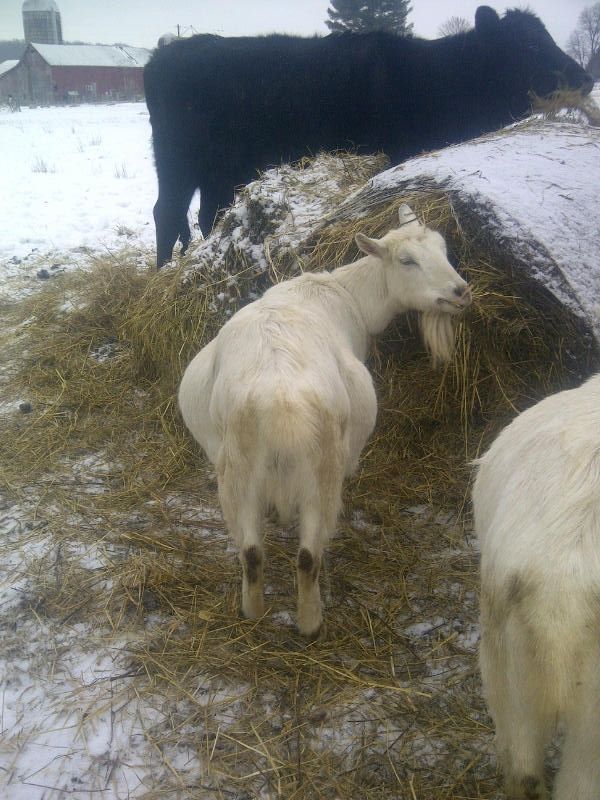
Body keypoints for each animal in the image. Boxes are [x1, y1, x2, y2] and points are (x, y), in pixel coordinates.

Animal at [179, 205, 471, 636]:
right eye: (407, 261)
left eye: (443, 248)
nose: (460, 292)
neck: (349, 294)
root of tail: (280, 406)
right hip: (322, 471)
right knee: (307, 556)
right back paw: (310, 622)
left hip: (237, 471)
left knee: (251, 552)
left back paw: (254, 612)